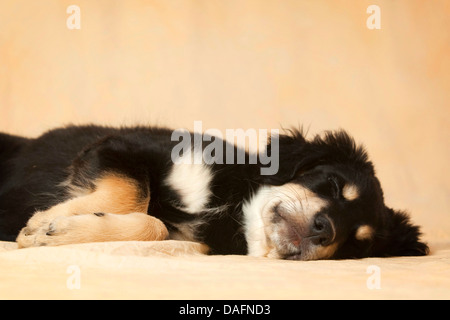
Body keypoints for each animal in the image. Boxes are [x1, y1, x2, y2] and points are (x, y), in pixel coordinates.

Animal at [0, 125, 428, 260]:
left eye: (357, 245)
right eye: (336, 186)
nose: (326, 230)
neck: (232, 205)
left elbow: (154, 224)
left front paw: (60, 230)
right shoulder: (118, 147)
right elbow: (135, 193)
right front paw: (47, 223)